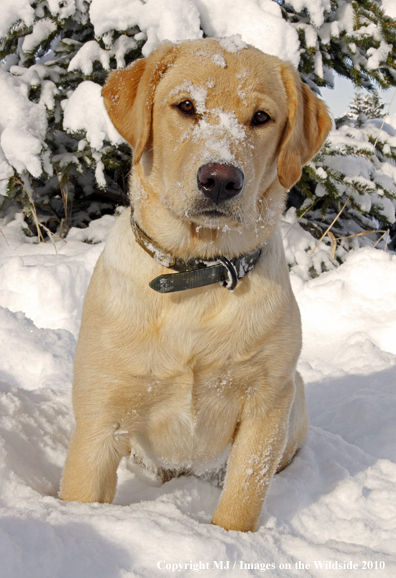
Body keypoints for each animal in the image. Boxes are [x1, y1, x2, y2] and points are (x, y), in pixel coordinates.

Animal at [59, 37, 332, 532]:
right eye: (185, 106)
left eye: (261, 117)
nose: (221, 179)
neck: (198, 273)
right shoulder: (100, 417)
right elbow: (81, 495)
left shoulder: (265, 405)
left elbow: (242, 499)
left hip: (294, 394)